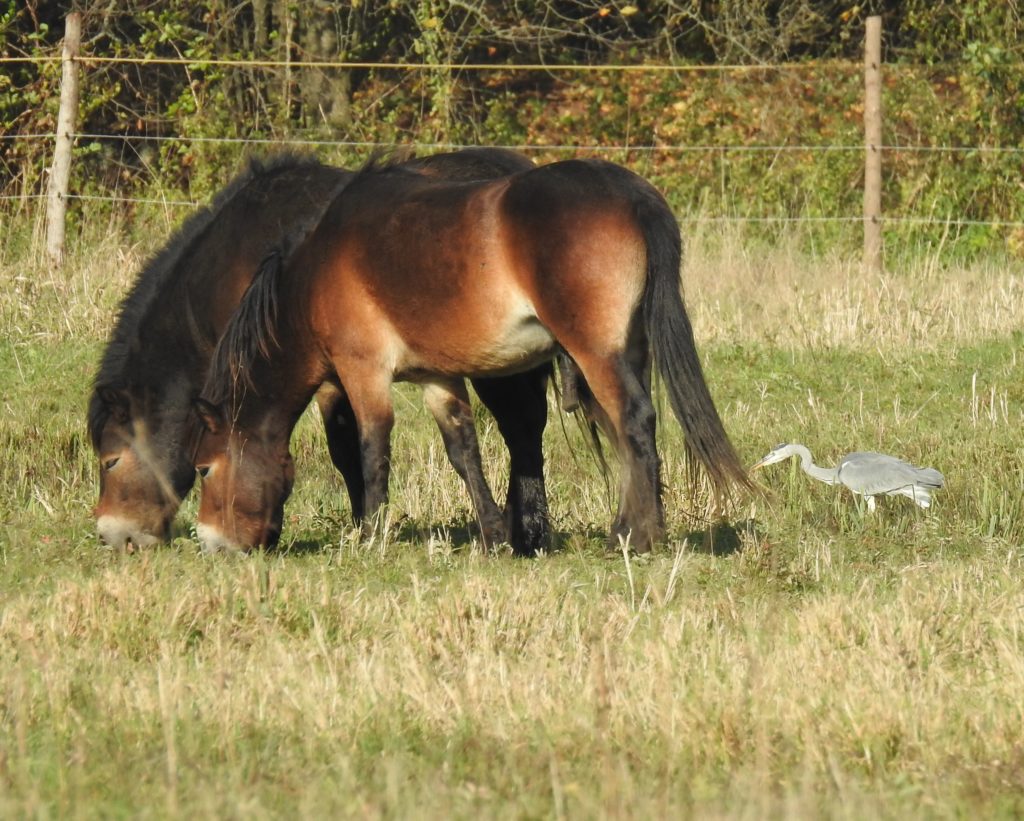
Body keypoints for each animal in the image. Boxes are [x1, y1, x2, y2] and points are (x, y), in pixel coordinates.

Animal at [88, 150, 552, 552]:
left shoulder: (329, 377)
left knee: (522, 431)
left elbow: (345, 450)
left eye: (111, 461)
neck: (238, 262)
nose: (114, 537)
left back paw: (528, 532)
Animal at [192, 156, 753, 552]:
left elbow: (372, 451)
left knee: (634, 419)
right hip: (628, 349)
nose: (214, 545)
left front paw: (369, 538)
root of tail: (632, 194)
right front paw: (494, 535)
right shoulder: (437, 377)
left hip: (596, 353)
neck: (314, 273)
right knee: (626, 433)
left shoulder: (362, 370)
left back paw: (631, 535)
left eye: (202, 469)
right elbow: (463, 451)